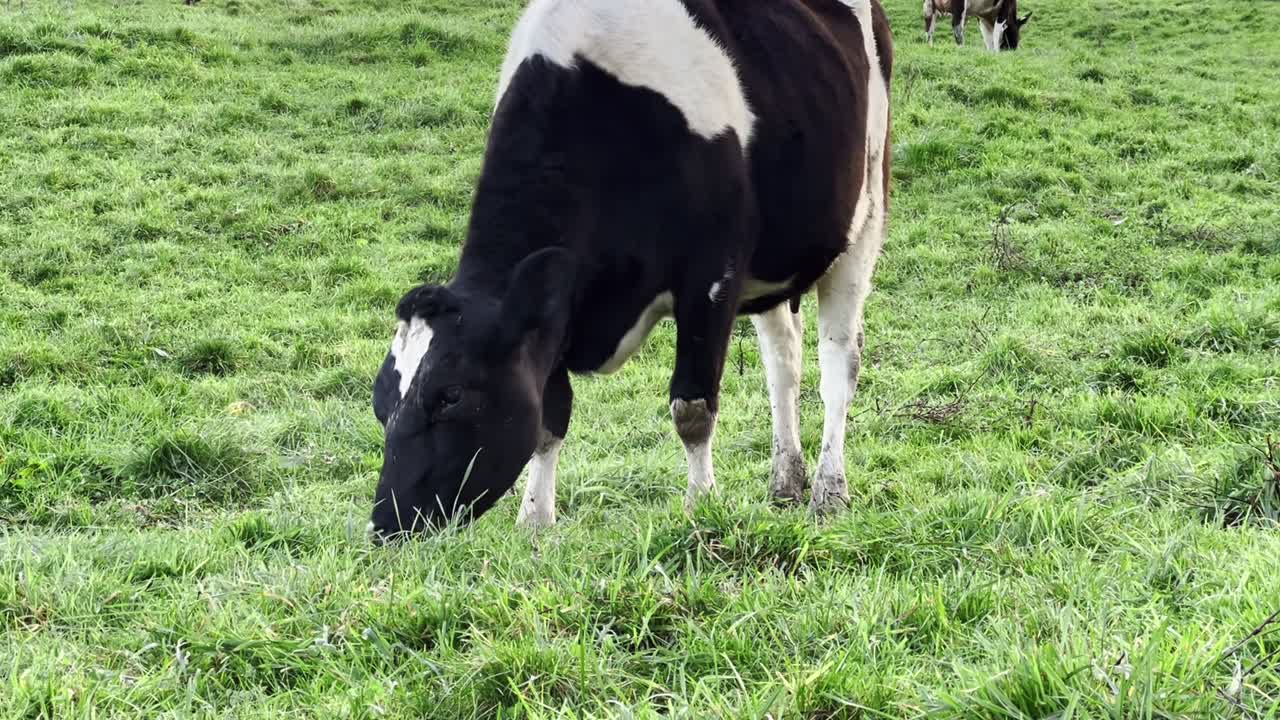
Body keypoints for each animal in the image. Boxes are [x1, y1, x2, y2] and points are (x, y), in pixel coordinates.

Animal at [367, 0, 893, 537]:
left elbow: (693, 409)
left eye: (450, 395)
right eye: (380, 402)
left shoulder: (711, 277)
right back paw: (786, 480)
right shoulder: (553, 305)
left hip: (865, 214)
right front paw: (535, 521)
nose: (385, 521)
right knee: (783, 362)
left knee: (838, 364)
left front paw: (700, 509)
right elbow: (548, 420)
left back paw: (829, 491)